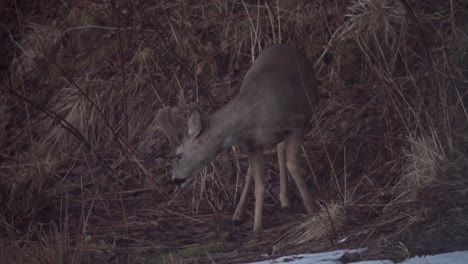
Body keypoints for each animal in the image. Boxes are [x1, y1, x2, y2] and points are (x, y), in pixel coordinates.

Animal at [156, 43, 318, 231]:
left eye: (179, 155)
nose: (175, 180)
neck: (254, 115)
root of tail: (288, 46)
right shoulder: (252, 144)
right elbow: (259, 184)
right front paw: (257, 227)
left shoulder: (297, 123)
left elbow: (292, 163)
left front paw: (312, 209)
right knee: (261, 165)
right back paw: (243, 213)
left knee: (280, 153)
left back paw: (283, 200)